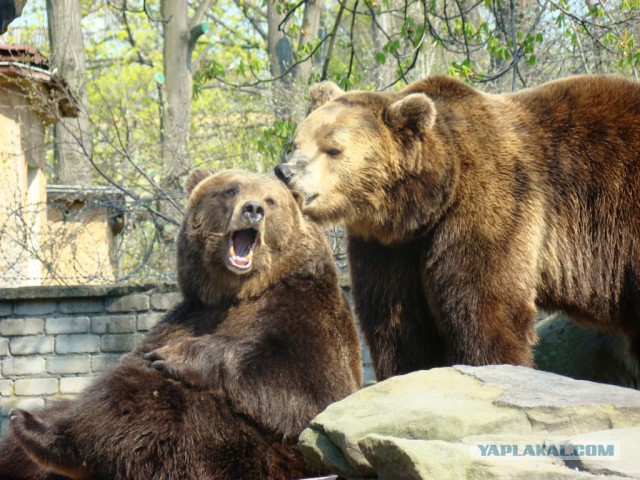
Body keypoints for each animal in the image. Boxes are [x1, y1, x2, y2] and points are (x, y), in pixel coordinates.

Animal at [0, 169, 360, 480]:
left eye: (271, 200)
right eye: (230, 190)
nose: (253, 209)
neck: (241, 289)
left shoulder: (305, 310)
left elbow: (305, 386)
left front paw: (174, 356)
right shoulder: (189, 314)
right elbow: (138, 353)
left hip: (241, 446)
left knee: (152, 404)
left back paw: (37, 430)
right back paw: (27, 427)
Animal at [276, 74, 640, 382]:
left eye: (333, 149)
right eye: (296, 143)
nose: (285, 171)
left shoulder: (490, 203)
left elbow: (483, 306)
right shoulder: (388, 247)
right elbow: (397, 324)